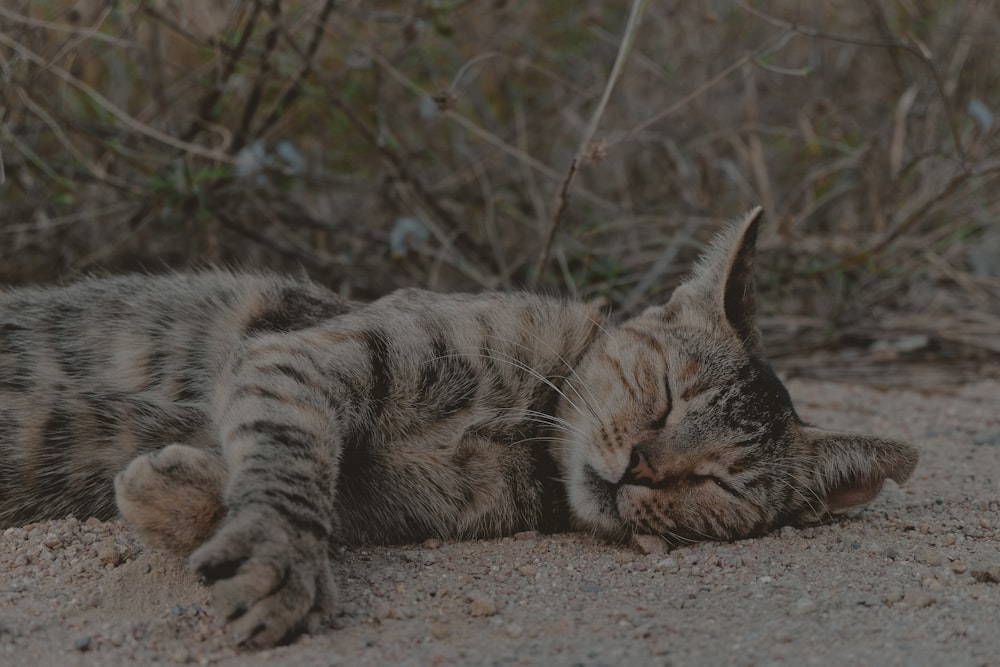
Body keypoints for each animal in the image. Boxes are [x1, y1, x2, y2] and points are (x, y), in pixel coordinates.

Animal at [0, 209, 916, 648]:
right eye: (661, 393)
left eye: (718, 479)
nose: (639, 466)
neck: (526, 435)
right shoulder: (309, 351)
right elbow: (294, 451)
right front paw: (274, 548)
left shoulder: (389, 501)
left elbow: (302, 478)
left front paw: (178, 492)